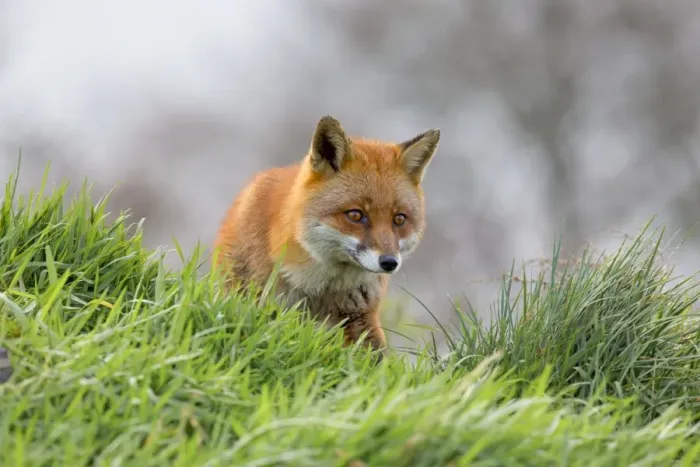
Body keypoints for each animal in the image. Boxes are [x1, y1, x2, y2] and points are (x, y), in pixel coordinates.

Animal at [213, 115, 440, 357]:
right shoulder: (265, 303)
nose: (389, 262)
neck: (319, 288)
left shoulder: (360, 316)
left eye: (399, 219)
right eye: (355, 215)